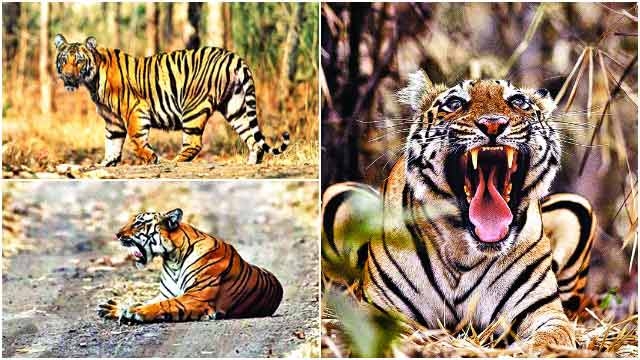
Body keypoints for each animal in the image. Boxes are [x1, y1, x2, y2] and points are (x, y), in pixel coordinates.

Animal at [53, 33, 288, 166]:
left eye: (79, 61)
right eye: (64, 60)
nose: (68, 76)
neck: (92, 82)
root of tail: (234, 57)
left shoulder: (135, 110)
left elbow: (136, 139)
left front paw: (152, 159)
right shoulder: (112, 120)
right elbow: (112, 143)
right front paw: (106, 164)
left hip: (193, 108)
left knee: (194, 143)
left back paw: (174, 161)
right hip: (235, 107)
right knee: (252, 138)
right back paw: (252, 163)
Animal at [97, 208, 282, 324]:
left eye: (138, 223)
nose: (117, 235)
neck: (172, 260)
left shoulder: (196, 297)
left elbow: (163, 305)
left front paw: (135, 313)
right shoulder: (165, 294)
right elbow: (141, 301)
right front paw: (114, 308)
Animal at [322, 71, 596, 350]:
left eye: (518, 101)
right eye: (455, 103)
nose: (493, 124)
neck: (463, 251)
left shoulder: (542, 310)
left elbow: (551, 338)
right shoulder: (380, 310)